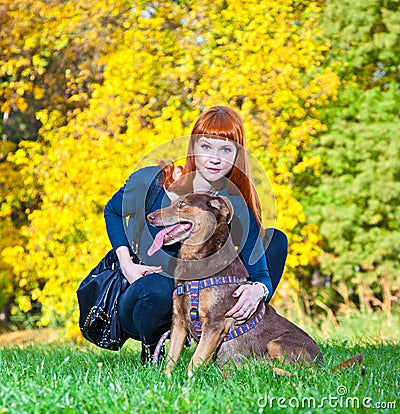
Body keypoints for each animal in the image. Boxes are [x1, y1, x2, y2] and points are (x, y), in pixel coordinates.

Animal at [147, 193, 362, 376]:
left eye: (182, 204)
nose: (149, 217)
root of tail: (323, 365)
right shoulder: (179, 321)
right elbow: (171, 359)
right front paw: (167, 380)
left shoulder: (215, 324)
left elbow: (196, 360)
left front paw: (187, 382)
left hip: (277, 344)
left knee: (302, 373)